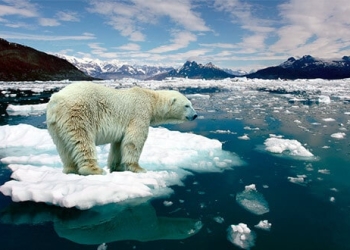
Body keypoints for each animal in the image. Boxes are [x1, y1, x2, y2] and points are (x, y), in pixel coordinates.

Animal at [46, 81, 197, 175]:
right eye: (187, 105)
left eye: (190, 104)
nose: (195, 115)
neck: (151, 99)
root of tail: (56, 100)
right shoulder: (139, 113)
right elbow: (134, 140)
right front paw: (138, 168)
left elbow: (118, 144)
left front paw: (117, 167)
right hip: (79, 113)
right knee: (82, 140)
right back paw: (94, 170)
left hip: (55, 125)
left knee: (63, 147)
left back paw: (70, 169)